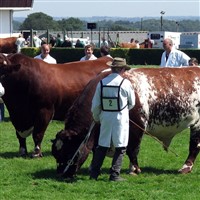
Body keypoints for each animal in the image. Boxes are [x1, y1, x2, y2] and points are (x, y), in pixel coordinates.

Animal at [50, 67, 199, 178]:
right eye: (56, 155)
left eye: (71, 152)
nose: (62, 174)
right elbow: (97, 148)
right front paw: (93, 167)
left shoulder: (136, 127)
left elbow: (132, 149)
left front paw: (134, 169)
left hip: (197, 124)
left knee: (194, 146)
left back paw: (185, 168)